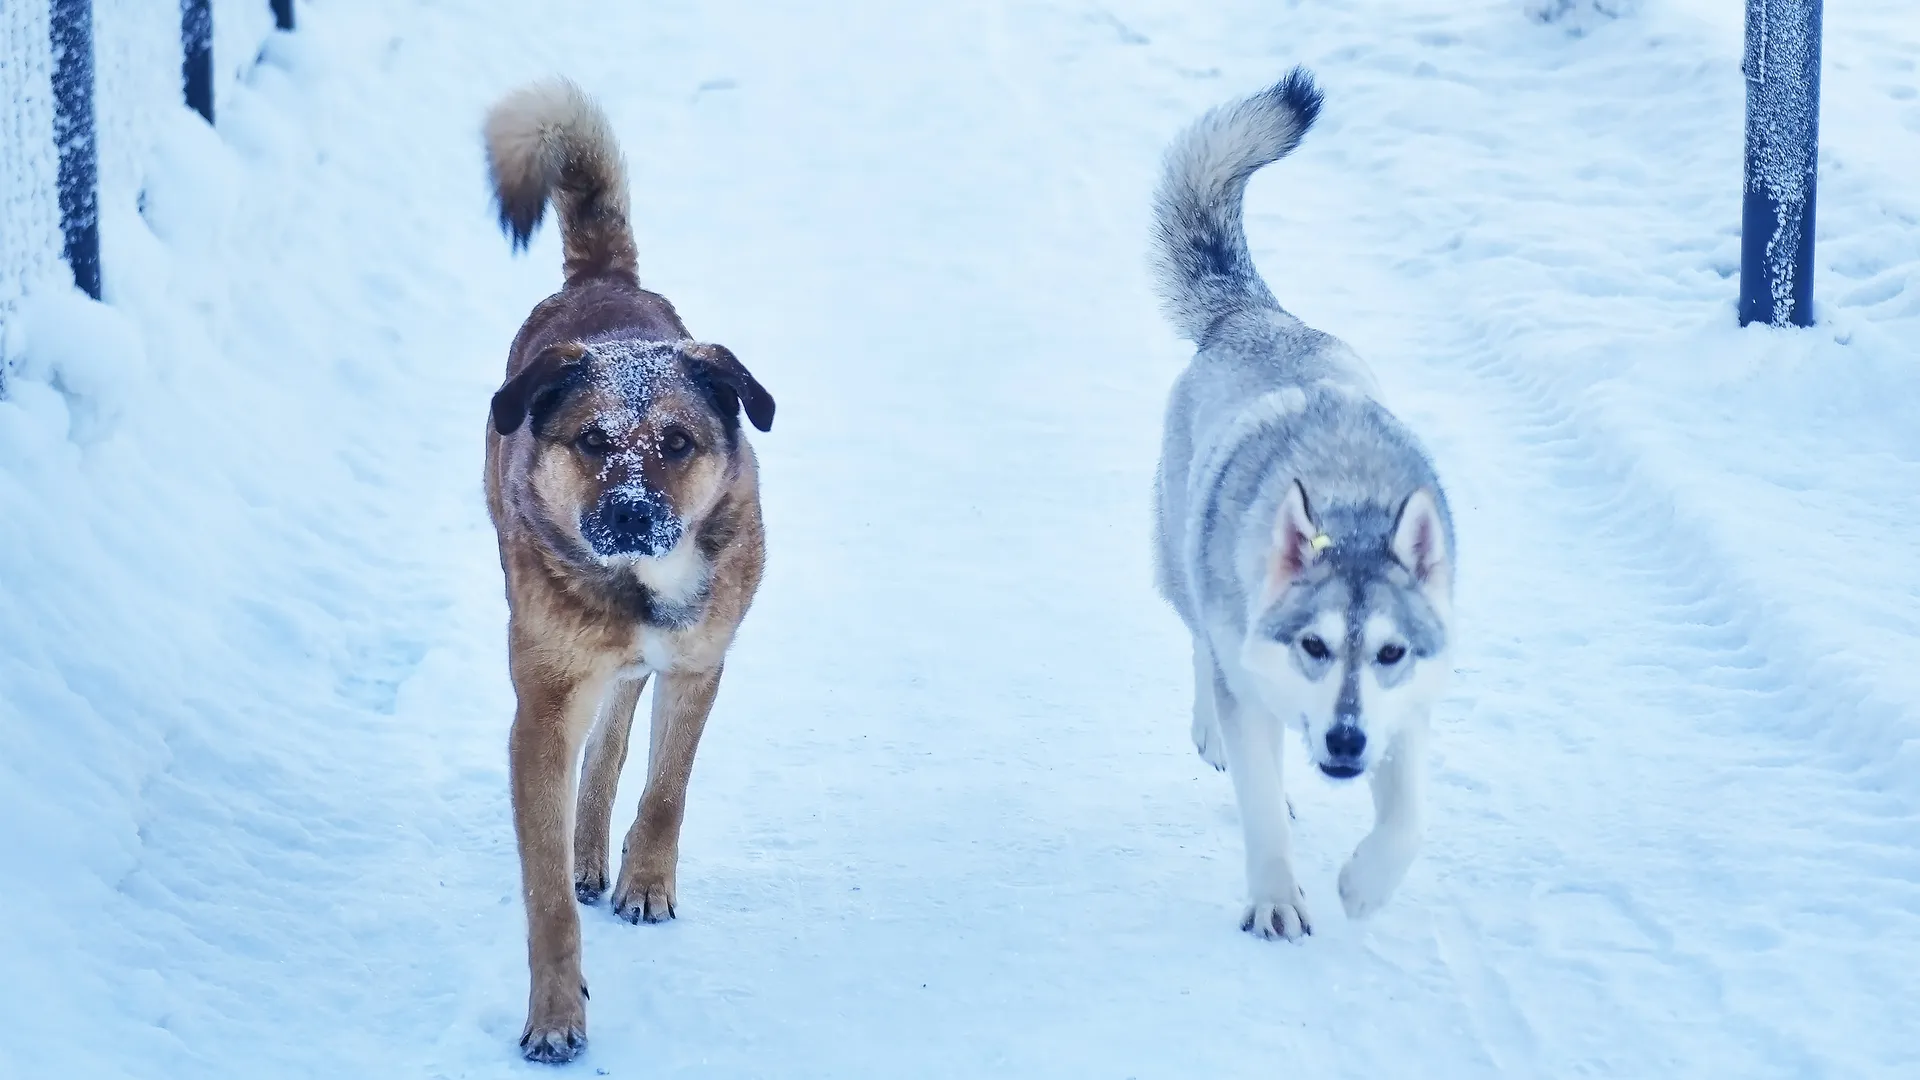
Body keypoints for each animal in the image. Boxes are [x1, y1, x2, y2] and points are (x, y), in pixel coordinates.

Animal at [480, 77, 771, 1060]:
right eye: (593, 440)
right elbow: (542, 900)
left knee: (616, 738)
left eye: (677, 443)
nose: (633, 515)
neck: (638, 587)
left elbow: (666, 789)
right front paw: (555, 1015)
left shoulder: (698, 662)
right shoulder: (540, 707)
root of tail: (602, 283)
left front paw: (644, 880)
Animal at [1152, 71, 1451, 937]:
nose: (1347, 742)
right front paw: (1277, 899)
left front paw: (1366, 884)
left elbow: (1409, 819)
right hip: (1181, 552)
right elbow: (1258, 805)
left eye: (1389, 652)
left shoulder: (1408, 706)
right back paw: (1211, 735)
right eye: (1313, 645)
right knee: (1198, 641)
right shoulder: (1255, 691)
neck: (1348, 511)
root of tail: (1253, 314)